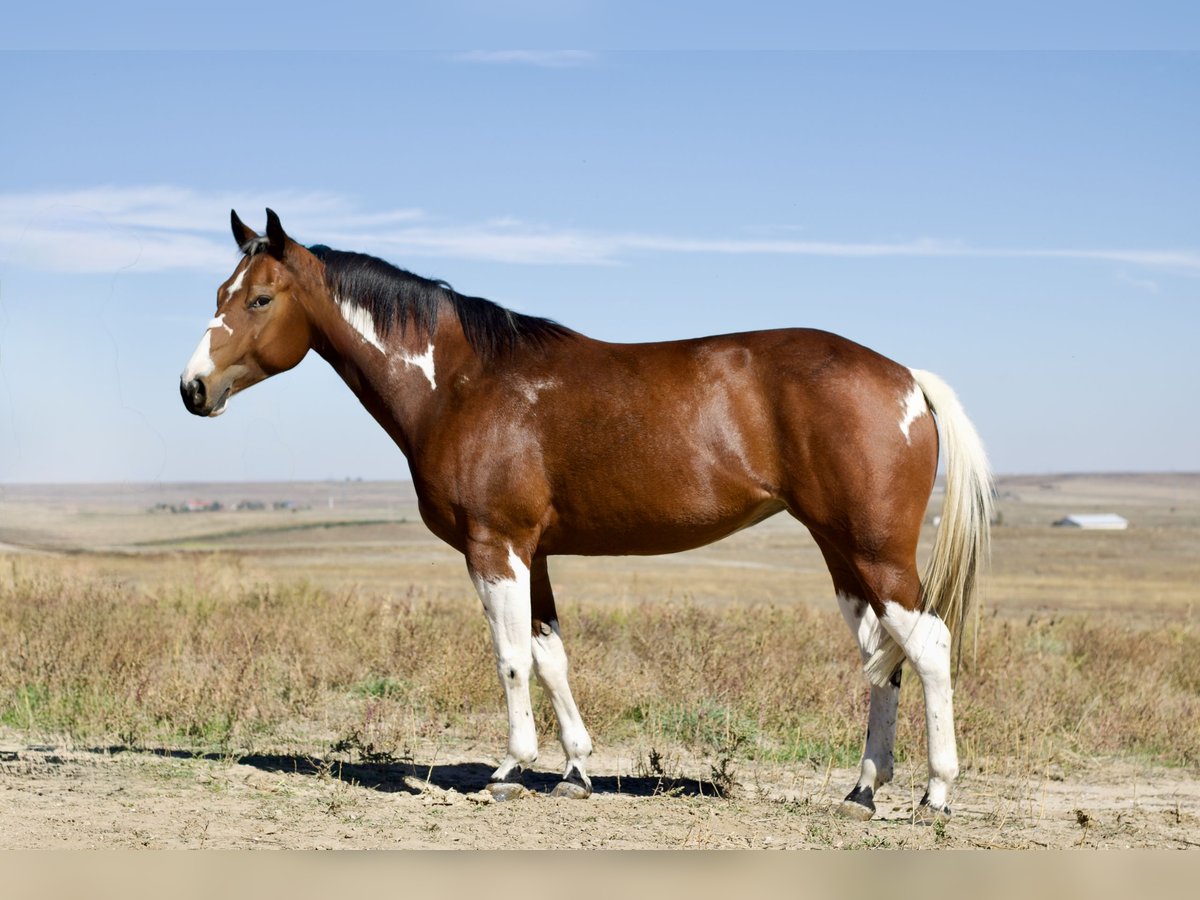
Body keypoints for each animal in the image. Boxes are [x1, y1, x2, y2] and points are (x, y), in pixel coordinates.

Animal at [180, 209, 992, 822]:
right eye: (219, 290)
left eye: (259, 300)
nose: (193, 388)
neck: (463, 382)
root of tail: (905, 378)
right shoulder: (533, 553)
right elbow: (549, 654)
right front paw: (575, 770)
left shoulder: (494, 547)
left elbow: (510, 657)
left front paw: (510, 769)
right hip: (842, 552)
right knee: (881, 658)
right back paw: (862, 791)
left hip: (876, 550)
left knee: (927, 647)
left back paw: (935, 793)